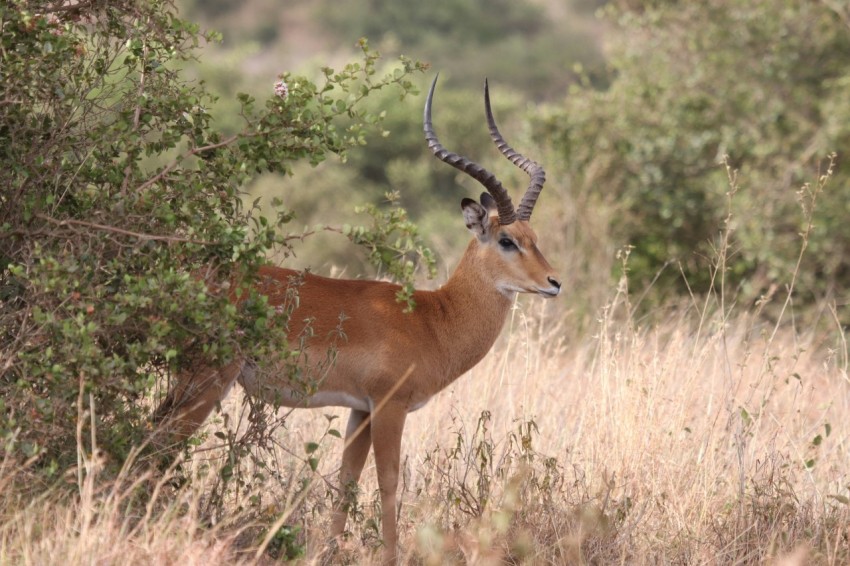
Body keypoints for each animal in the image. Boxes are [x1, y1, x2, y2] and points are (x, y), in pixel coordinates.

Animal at [152, 75, 561, 563]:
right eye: (506, 240)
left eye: (533, 237)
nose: (554, 283)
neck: (432, 318)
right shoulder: (389, 406)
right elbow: (388, 484)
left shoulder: (359, 410)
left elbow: (347, 483)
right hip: (209, 380)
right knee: (165, 441)